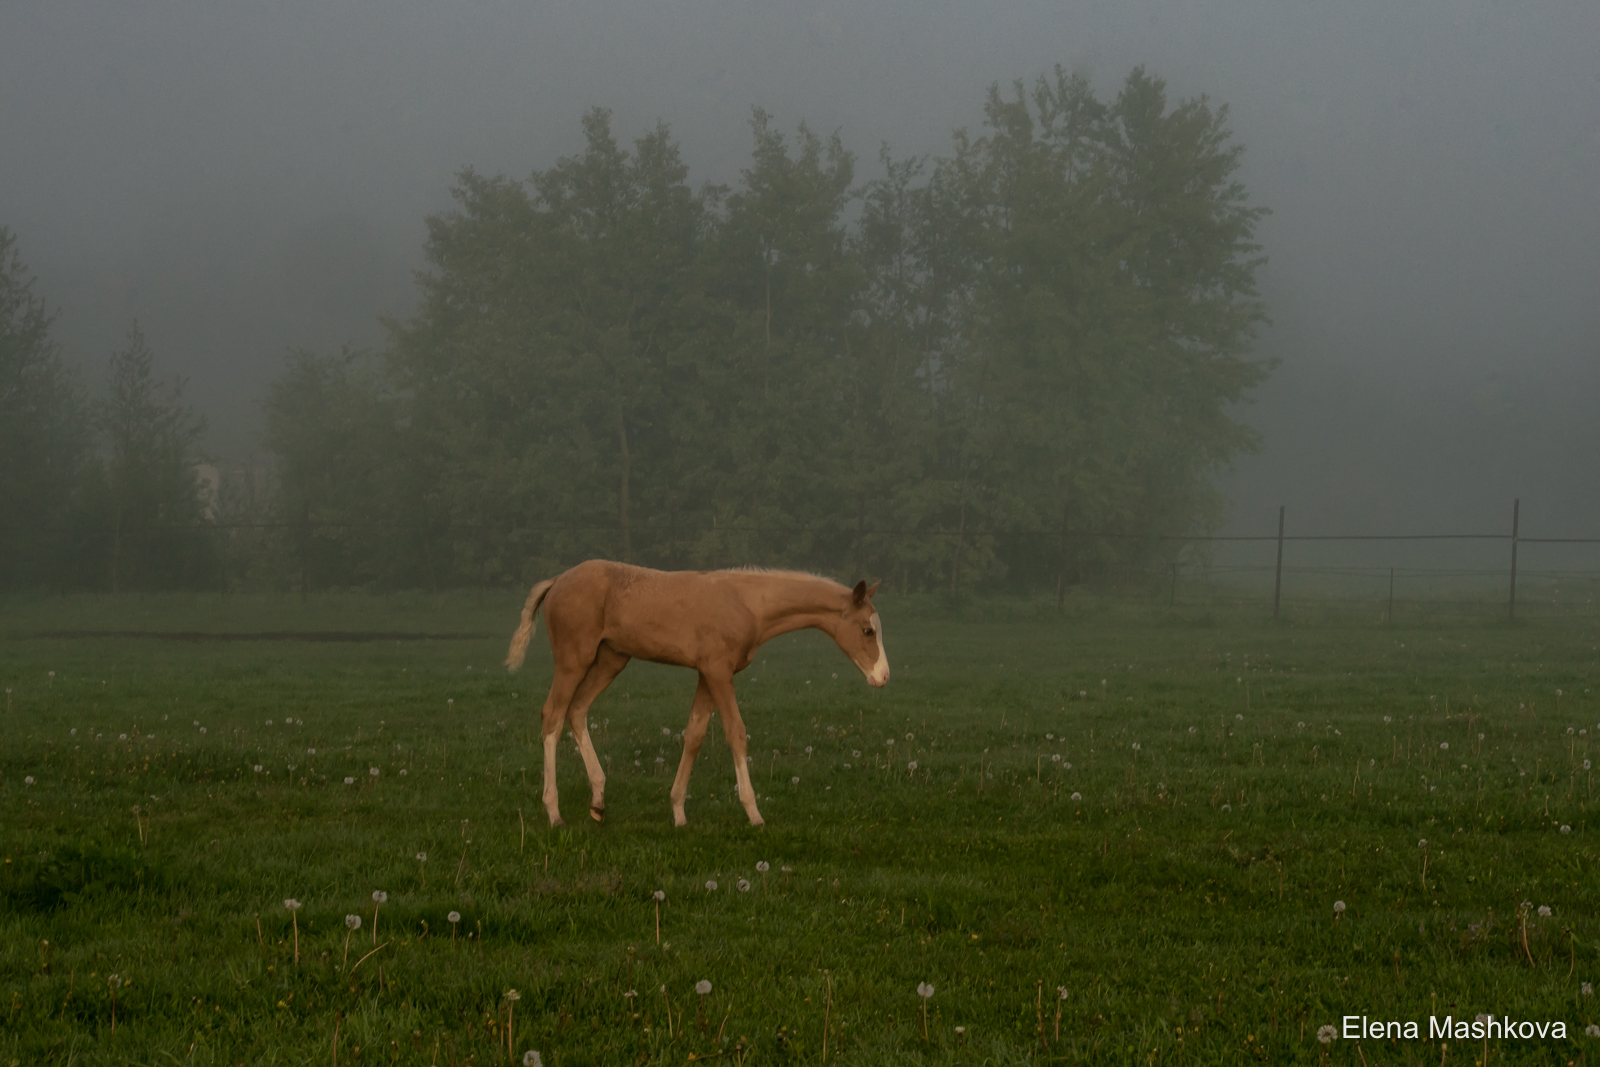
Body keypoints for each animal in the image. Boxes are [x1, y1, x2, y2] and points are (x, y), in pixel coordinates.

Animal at [502, 563, 889, 831]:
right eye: (867, 631)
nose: (883, 677)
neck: (747, 603)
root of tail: (556, 581)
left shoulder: (707, 674)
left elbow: (694, 735)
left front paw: (678, 812)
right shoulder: (719, 672)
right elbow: (736, 732)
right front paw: (754, 813)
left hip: (611, 659)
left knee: (577, 710)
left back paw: (598, 801)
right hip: (574, 659)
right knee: (553, 715)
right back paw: (554, 813)